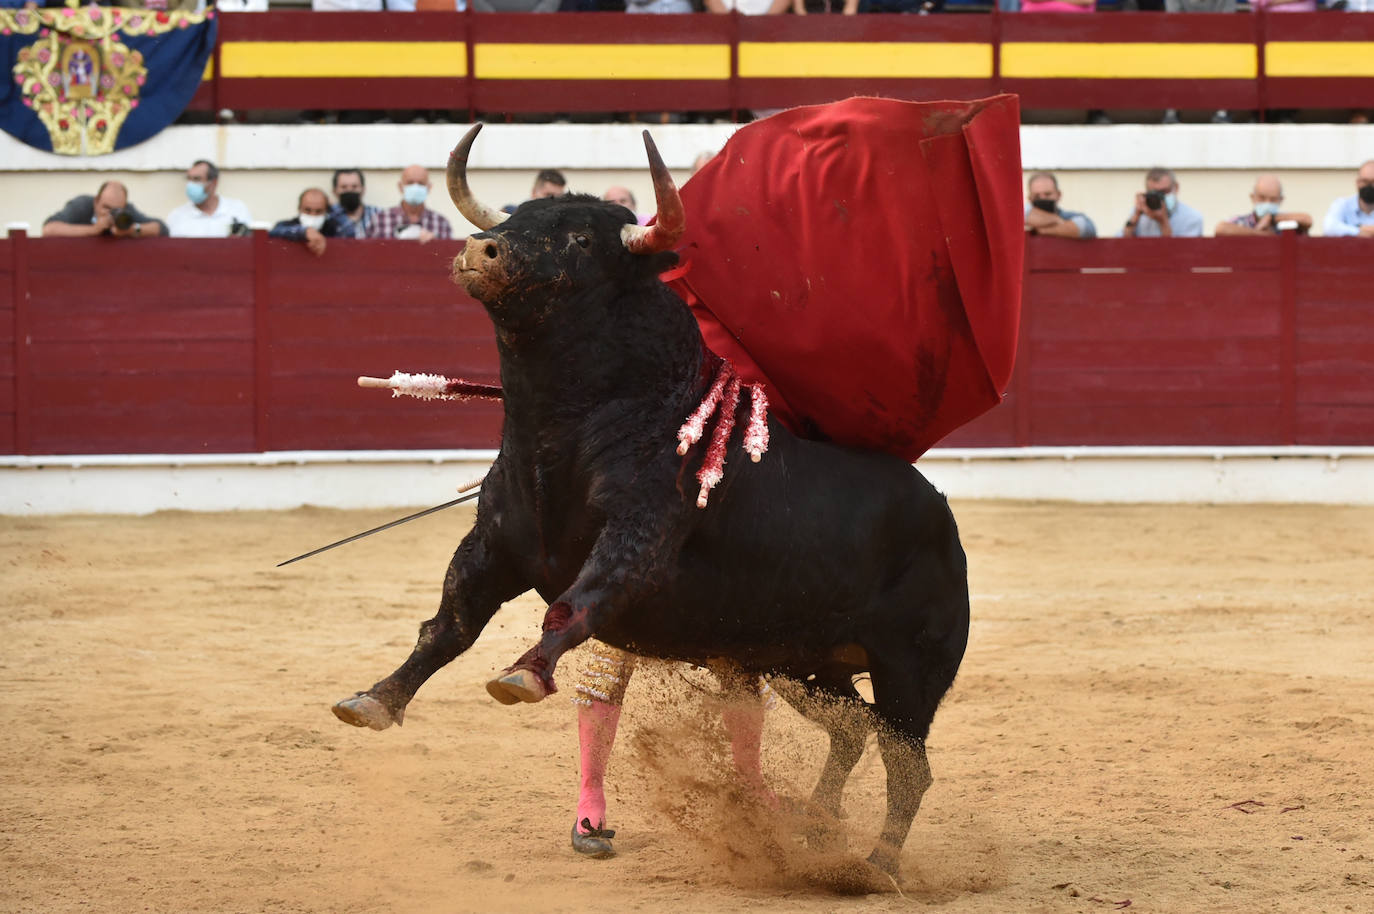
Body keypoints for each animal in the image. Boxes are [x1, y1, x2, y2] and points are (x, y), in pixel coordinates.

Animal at [333, 125, 972, 874]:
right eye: (517, 218)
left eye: (582, 238)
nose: (480, 248)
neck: (560, 433)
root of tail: (940, 513)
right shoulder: (493, 545)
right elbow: (449, 624)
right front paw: (376, 699)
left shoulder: (635, 541)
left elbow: (570, 607)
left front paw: (522, 674)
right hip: (806, 662)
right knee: (852, 731)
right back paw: (816, 825)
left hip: (909, 668)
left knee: (908, 762)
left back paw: (878, 865)